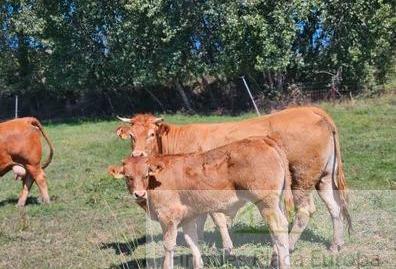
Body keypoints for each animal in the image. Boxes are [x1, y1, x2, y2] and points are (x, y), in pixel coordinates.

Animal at [108, 137, 294, 266]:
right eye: (128, 177)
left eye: (146, 174)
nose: (139, 194)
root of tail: (262, 139)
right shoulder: (188, 217)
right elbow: (193, 242)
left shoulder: (168, 217)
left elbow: (168, 245)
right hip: (274, 204)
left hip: (266, 203)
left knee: (279, 228)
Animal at [116, 105, 352, 252]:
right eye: (131, 136)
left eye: (151, 134)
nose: (137, 155)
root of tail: (311, 110)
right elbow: (201, 218)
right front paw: (200, 240)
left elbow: (216, 218)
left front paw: (226, 246)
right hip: (323, 178)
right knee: (334, 208)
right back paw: (336, 244)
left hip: (301, 178)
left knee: (305, 211)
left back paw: (291, 245)